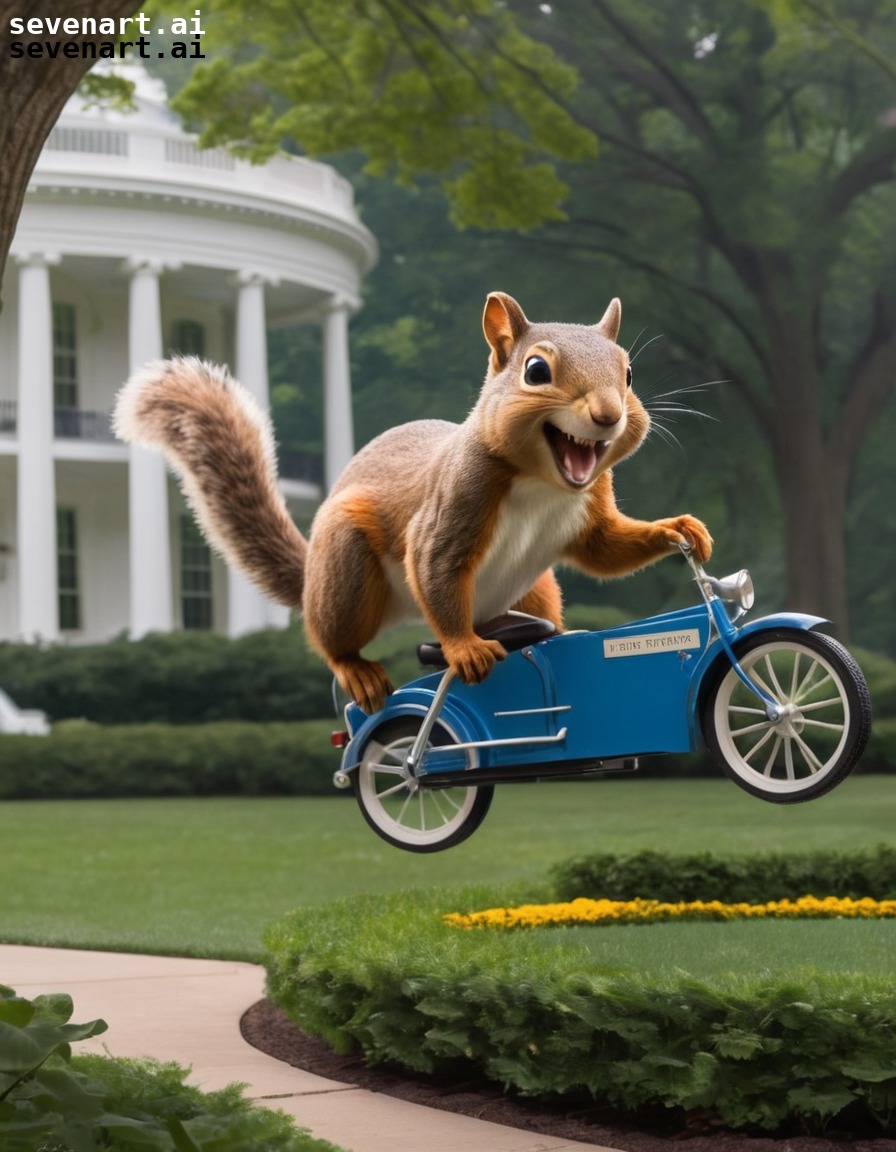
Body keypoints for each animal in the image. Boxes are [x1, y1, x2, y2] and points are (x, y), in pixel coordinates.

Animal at [113, 290, 714, 709]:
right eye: (536, 370)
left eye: (629, 372)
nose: (610, 414)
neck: (542, 481)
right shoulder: (457, 499)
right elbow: (435, 565)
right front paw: (464, 648)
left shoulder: (589, 510)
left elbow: (605, 548)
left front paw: (680, 529)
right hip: (346, 569)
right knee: (334, 638)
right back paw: (359, 668)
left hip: (536, 590)